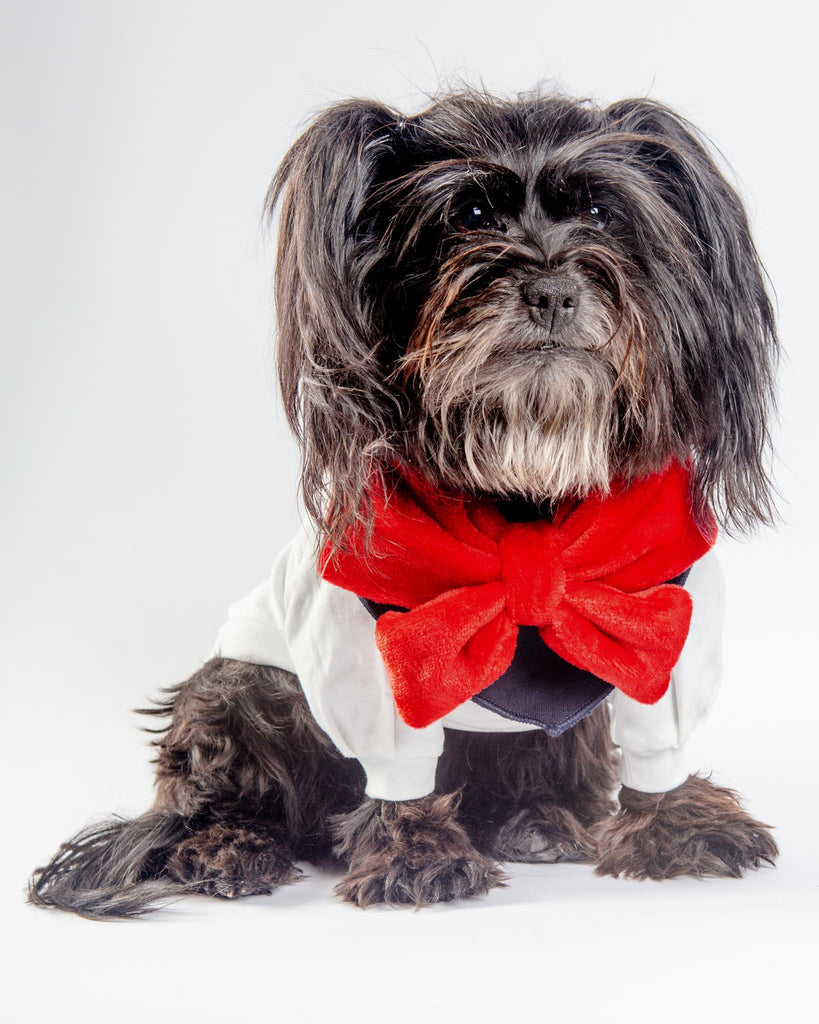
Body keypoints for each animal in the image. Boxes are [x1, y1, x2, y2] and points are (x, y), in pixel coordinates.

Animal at [27, 90, 782, 921]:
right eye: (468, 214)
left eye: (601, 212)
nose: (552, 290)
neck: (520, 500)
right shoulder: (369, 658)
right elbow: (397, 772)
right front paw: (415, 855)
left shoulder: (659, 628)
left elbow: (659, 738)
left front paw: (680, 827)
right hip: (241, 687)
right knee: (219, 794)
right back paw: (228, 849)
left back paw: (539, 818)